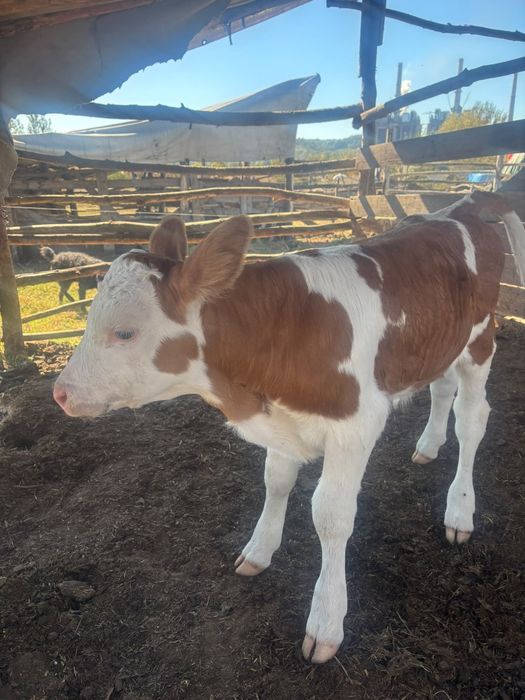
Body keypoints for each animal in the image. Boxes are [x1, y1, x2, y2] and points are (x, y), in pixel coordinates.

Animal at [53, 191, 524, 664]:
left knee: (472, 421)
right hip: (443, 341)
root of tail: (466, 203)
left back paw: (459, 509)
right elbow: (276, 481)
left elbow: (331, 516)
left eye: (125, 332)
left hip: (480, 339)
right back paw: (428, 445)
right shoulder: (279, 418)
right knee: (442, 387)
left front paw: (327, 620)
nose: (60, 393)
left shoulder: (357, 424)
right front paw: (259, 550)